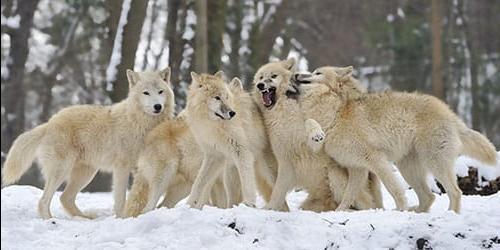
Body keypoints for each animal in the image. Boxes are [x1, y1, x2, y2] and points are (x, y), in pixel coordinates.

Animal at [1, 67, 174, 218]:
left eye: (160, 91)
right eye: (146, 93)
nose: (157, 106)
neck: (141, 124)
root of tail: (49, 123)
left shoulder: (141, 168)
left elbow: (139, 197)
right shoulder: (122, 168)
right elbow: (120, 199)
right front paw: (121, 218)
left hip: (86, 173)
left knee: (65, 198)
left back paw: (84, 219)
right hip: (62, 170)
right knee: (44, 201)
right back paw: (51, 220)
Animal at [252, 59, 380, 211]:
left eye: (273, 76)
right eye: (260, 77)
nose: (260, 85)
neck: (284, 113)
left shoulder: (314, 144)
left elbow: (309, 122)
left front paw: (317, 134)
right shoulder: (284, 159)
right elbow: (278, 191)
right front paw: (270, 208)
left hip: (334, 174)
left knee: (364, 204)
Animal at [294, 66, 498, 213]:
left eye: (317, 72)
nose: (296, 75)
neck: (335, 114)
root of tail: (450, 113)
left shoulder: (375, 160)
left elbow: (393, 188)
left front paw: (400, 207)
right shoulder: (357, 168)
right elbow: (348, 196)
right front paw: (339, 212)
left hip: (433, 163)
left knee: (455, 192)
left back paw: (448, 214)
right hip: (408, 168)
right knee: (429, 197)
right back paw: (415, 212)